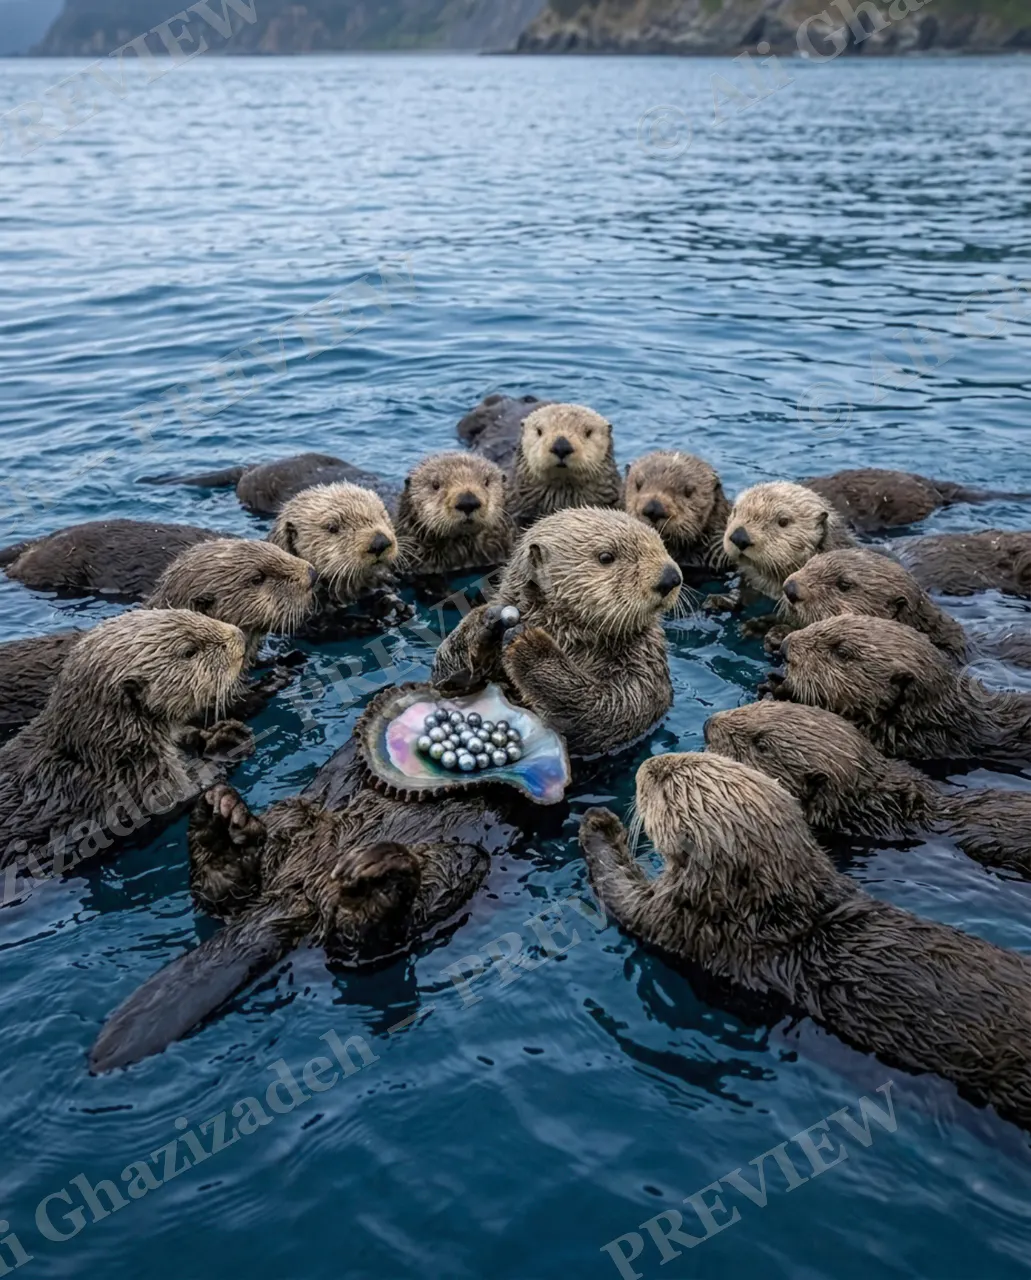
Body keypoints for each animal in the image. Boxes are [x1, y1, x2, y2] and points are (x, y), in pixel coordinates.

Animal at [0, 610, 252, 900]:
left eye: (195, 614)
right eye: (189, 652)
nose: (239, 635)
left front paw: (216, 735)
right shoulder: (146, 786)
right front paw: (227, 745)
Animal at [89, 716, 530, 1072]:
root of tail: (298, 897)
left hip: (457, 864)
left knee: (362, 944)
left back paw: (376, 879)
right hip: (294, 814)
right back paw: (219, 822)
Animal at [432, 508, 682, 757]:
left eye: (662, 544)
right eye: (606, 557)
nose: (670, 577)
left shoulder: (645, 663)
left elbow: (617, 710)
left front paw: (530, 645)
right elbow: (442, 682)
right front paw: (485, 622)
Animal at [580, 754, 1031, 1134]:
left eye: (666, 786)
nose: (649, 764)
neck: (778, 912)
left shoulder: (685, 927)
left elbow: (621, 894)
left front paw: (599, 825)